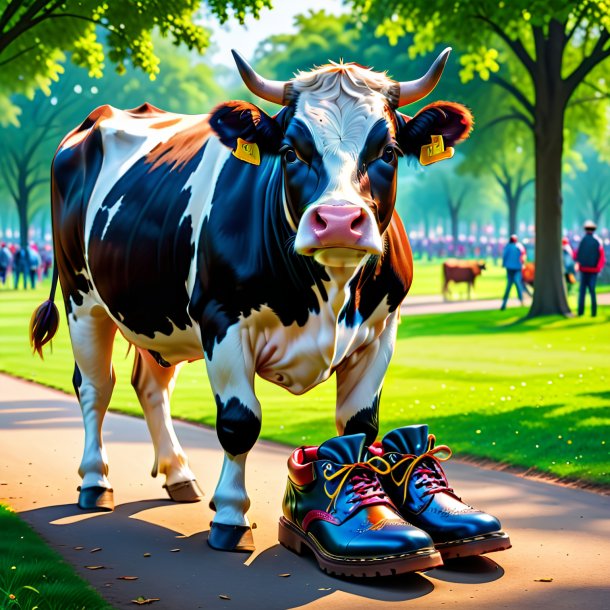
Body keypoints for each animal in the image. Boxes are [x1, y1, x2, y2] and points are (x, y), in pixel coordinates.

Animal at [29, 48, 470, 552]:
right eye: (291, 151)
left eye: (389, 152)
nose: (338, 221)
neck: (327, 297)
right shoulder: (223, 322)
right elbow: (239, 422)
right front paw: (230, 517)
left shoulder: (382, 331)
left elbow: (359, 427)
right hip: (81, 297)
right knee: (95, 387)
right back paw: (94, 481)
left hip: (155, 310)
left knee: (151, 386)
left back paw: (178, 475)